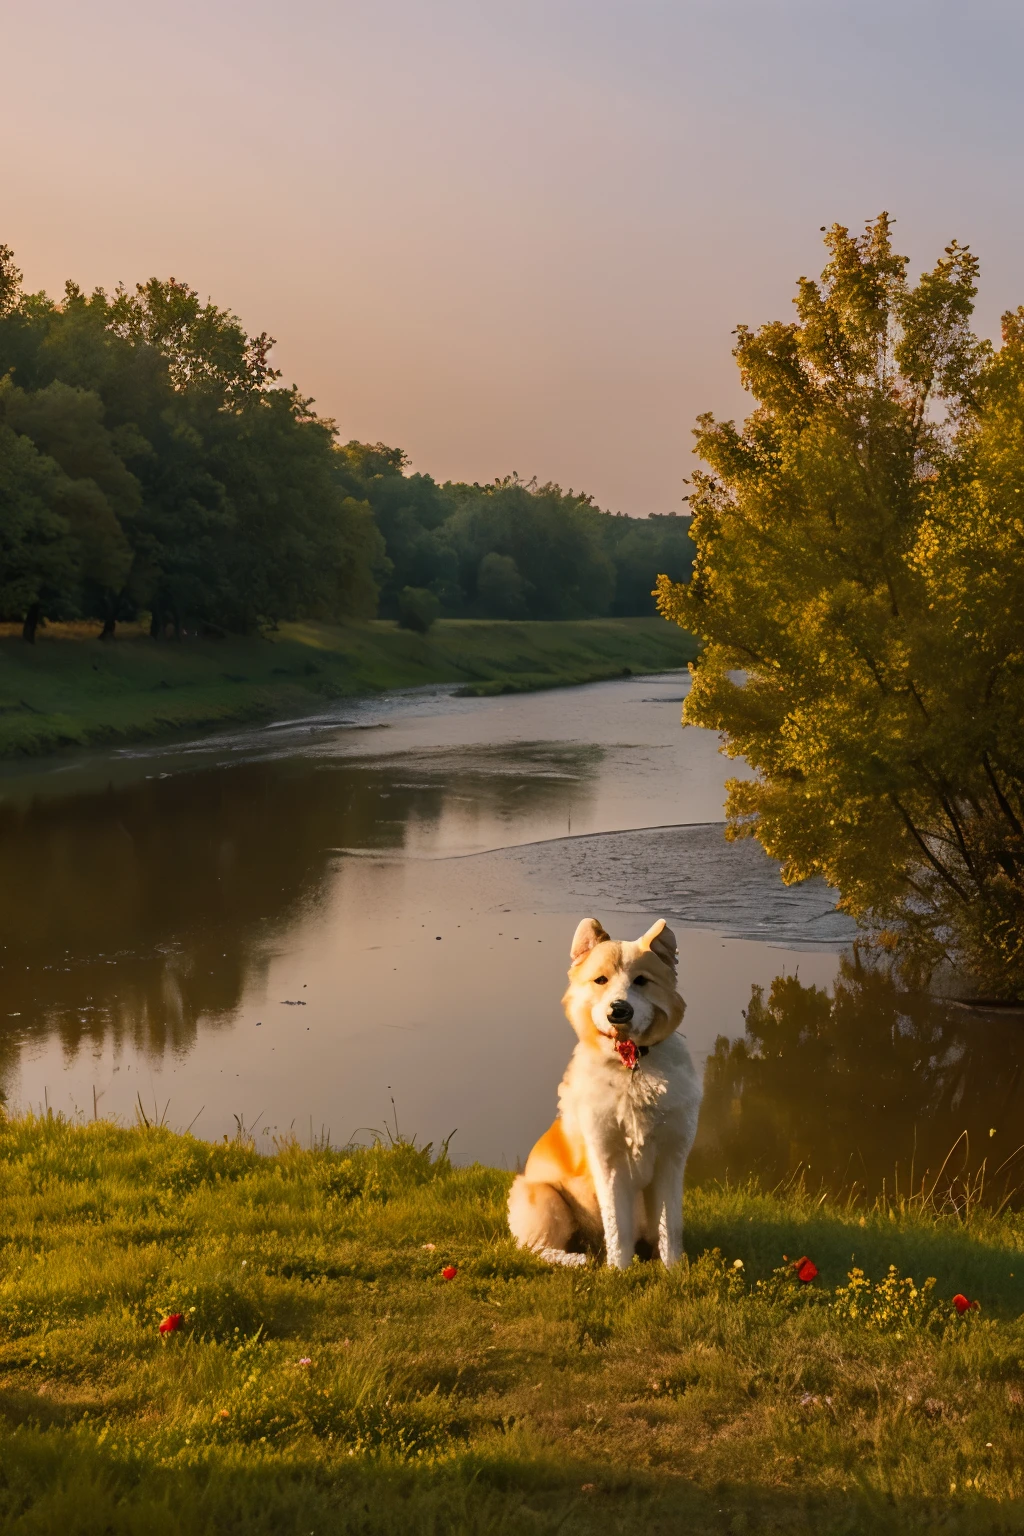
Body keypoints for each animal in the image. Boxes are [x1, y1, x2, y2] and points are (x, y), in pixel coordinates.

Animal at [506, 909, 700, 1271]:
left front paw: (673, 1271)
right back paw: (576, 1259)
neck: (631, 1068)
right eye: (601, 980)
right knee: (533, 1249)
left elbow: (669, 1227)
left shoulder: (671, 1160)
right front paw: (619, 1272)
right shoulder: (608, 1163)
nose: (619, 1010)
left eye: (641, 980)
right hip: (544, 1197)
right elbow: (618, 1227)